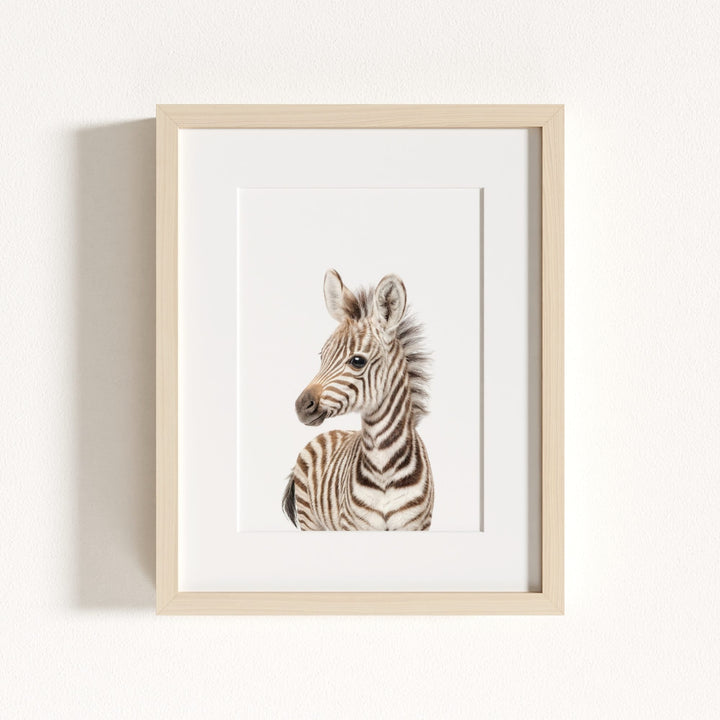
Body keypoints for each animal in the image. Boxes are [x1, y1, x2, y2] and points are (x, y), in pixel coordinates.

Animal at [282, 269, 434, 531]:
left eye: (357, 361)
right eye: (322, 356)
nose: (301, 406)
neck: (384, 467)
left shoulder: (417, 526)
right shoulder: (354, 526)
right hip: (310, 520)